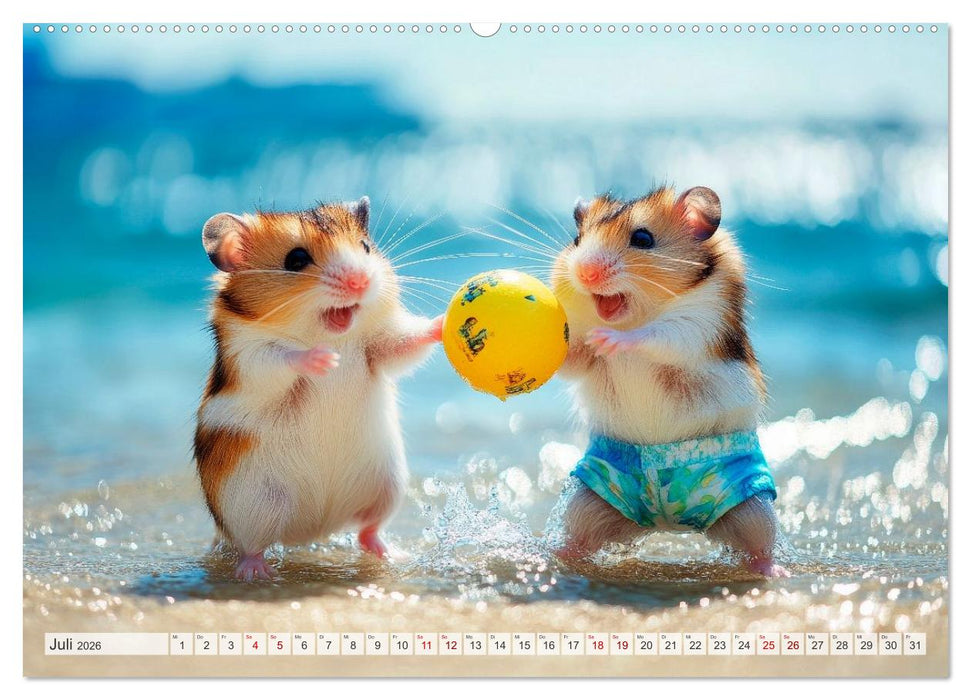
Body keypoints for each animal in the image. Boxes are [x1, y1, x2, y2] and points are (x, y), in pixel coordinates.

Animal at [194, 197, 442, 580]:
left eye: (365, 247)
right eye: (295, 260)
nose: (360, 281)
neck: (329, 330)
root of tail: (313, 529)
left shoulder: (380, 342)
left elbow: (405, 342)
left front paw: (447, 322)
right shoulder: (248, 355)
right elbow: (281, 358)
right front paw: (325, 360)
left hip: (387, 487)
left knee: (368, 531)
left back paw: (393, 555)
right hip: (252, 503)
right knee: (251, 546)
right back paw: (256, 573)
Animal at [550, 185, 789, 578]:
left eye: (643, 239)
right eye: (576, 240)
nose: (584, 274)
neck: (639, 311)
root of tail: (667, 524)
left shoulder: (699, 325)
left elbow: (660, 335)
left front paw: (610, 340)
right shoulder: (583, 362)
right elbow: (574, 360)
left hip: (751, 501)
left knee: (759, 545)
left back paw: (774, 571)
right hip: (592, 496)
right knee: (580, 538)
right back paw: (555, 555)